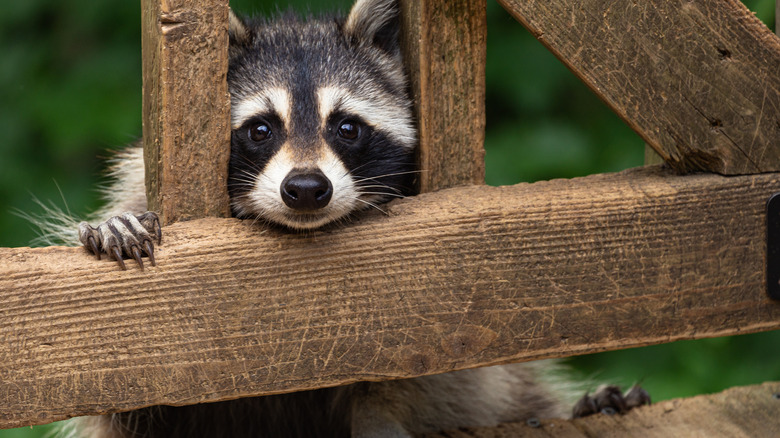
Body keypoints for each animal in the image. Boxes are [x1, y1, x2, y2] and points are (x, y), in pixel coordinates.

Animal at [66, 0, 649, 436]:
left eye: (346, 127)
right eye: (260, 129)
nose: (305, 190)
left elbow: (419, 382)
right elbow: (138, 399)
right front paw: (117, 227)